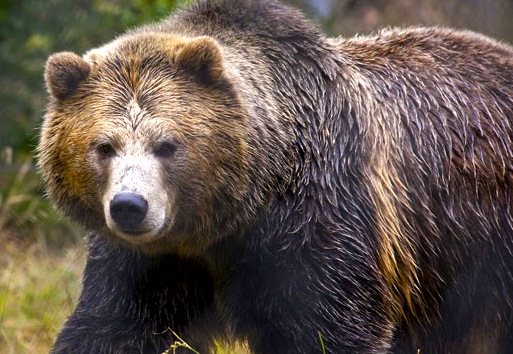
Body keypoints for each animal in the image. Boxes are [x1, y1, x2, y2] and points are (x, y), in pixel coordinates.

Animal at [39, 0, 512, 352]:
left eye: (167, 144)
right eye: (104, 146)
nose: (130, 206)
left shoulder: (318, 219)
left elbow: (329, 327)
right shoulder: (151, 264)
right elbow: (113, 325)